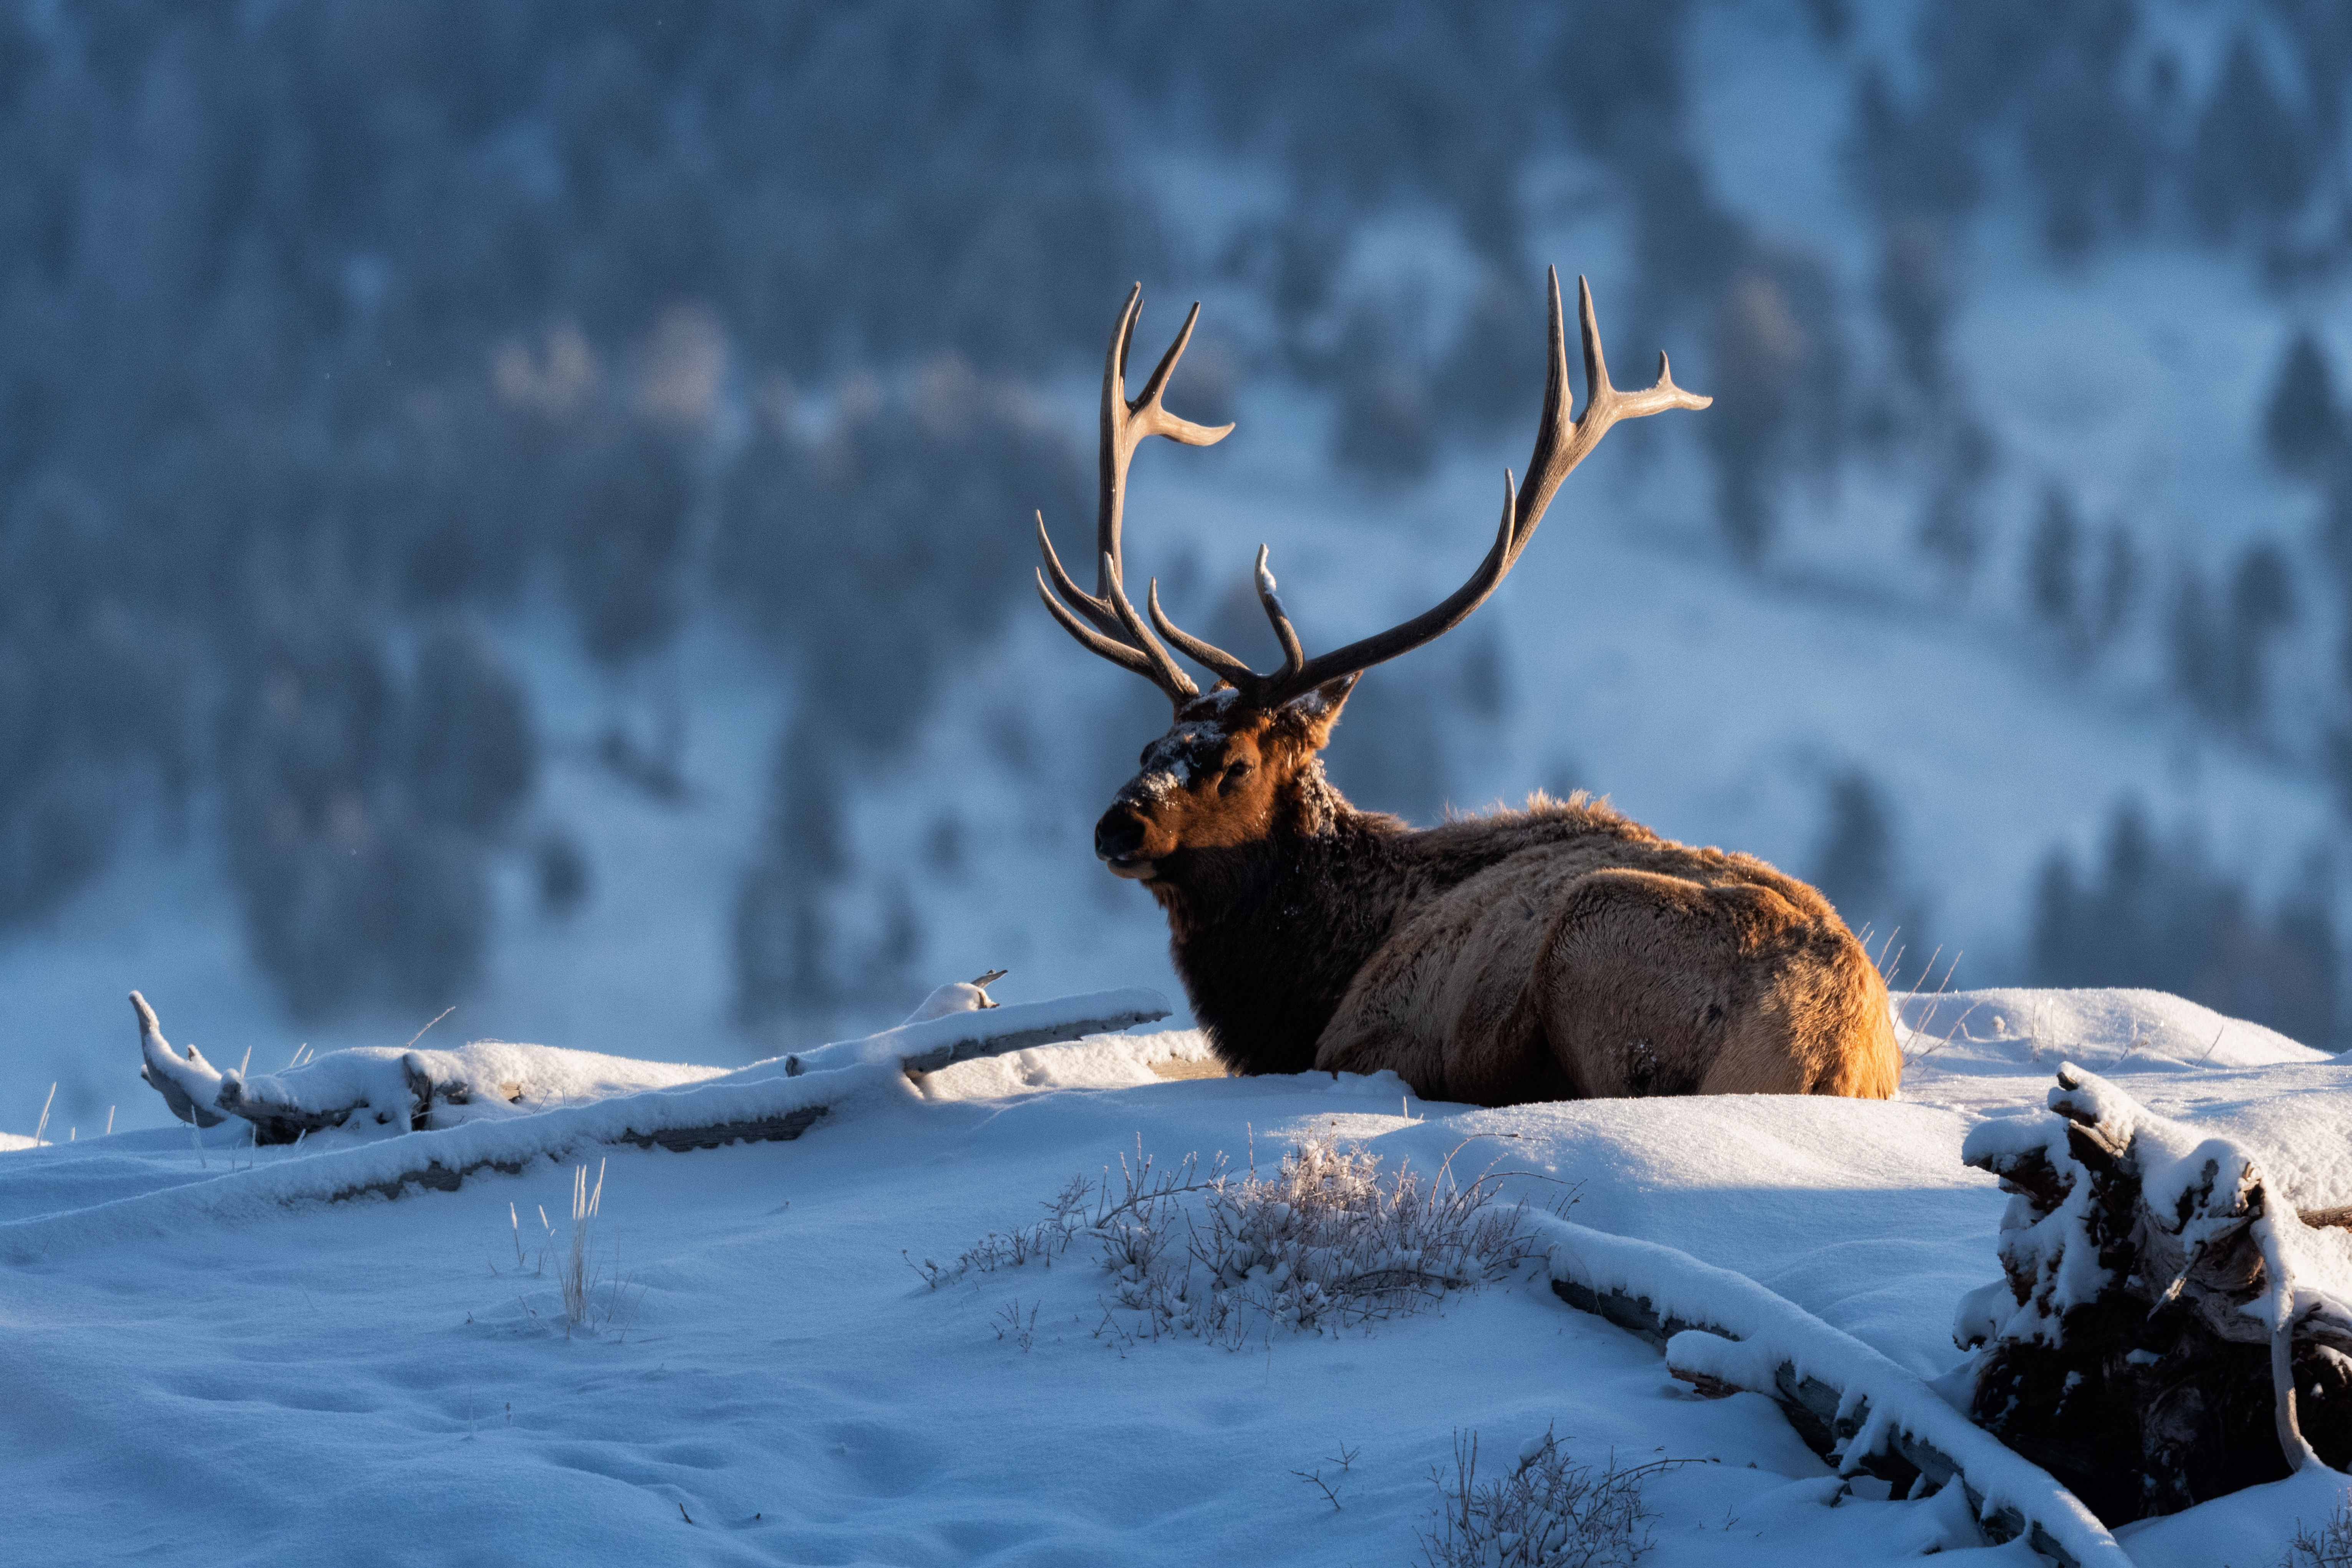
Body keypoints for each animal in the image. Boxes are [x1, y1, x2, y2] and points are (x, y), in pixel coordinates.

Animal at [1030, 269, 1901, 1108]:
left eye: (1236, 764)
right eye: (1149, 744)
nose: (1116, 826)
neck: (1311, 980)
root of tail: (1834, 1054)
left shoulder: (1366, 1035)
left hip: (1593, 931)